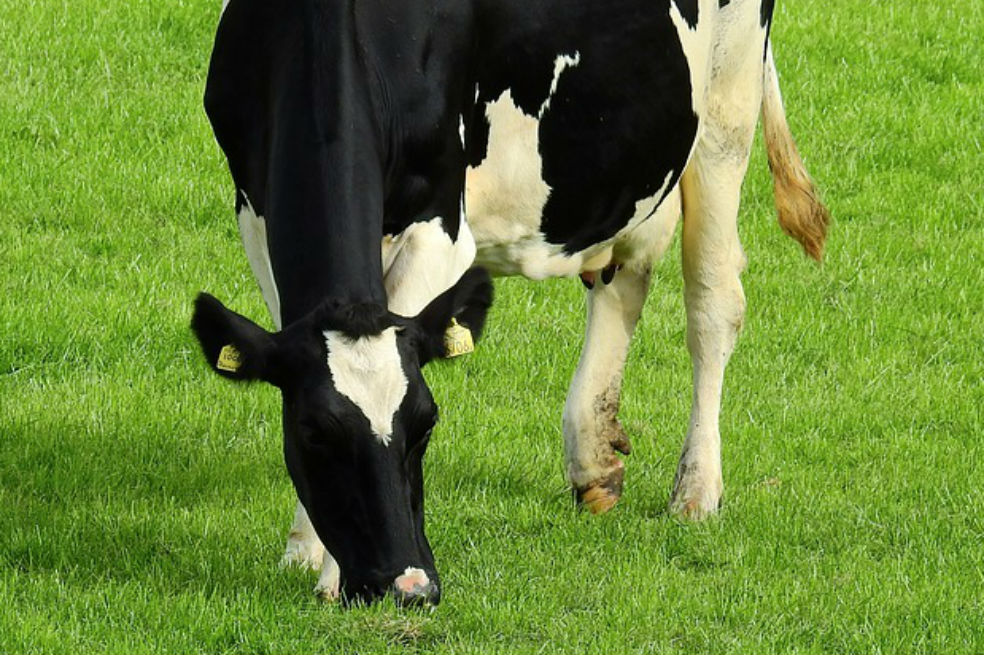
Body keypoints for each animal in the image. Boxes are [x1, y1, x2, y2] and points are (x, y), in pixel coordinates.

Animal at [192, 0, 829, 606]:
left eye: (426, 422)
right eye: (313, 433)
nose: (409, 586)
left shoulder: (440, 229)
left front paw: (329, 573)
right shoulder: (254, 211)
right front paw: (306, 548)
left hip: (728, 93)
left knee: (712, 300)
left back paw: (696, 490)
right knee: (626, 273)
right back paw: (594, 459)